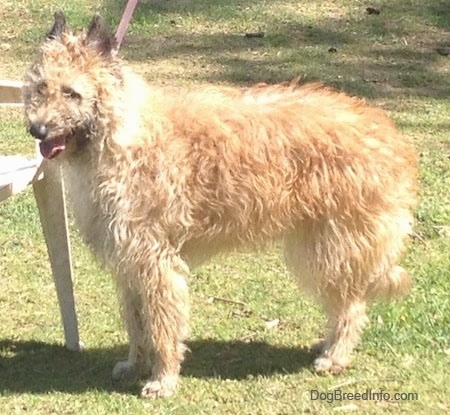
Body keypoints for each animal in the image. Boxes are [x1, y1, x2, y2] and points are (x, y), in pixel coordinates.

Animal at [23, 13, 418, 400]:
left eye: (72, 92)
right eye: (41, 86)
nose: (37, 130)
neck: (119, 136)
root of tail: (387, 132)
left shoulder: (156, 263)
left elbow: (162, 326)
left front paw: (163, 379)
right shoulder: (129, 262)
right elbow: (136, 323)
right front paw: (135, 364)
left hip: (332, 247)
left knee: (351, 306)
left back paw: (336, 355)